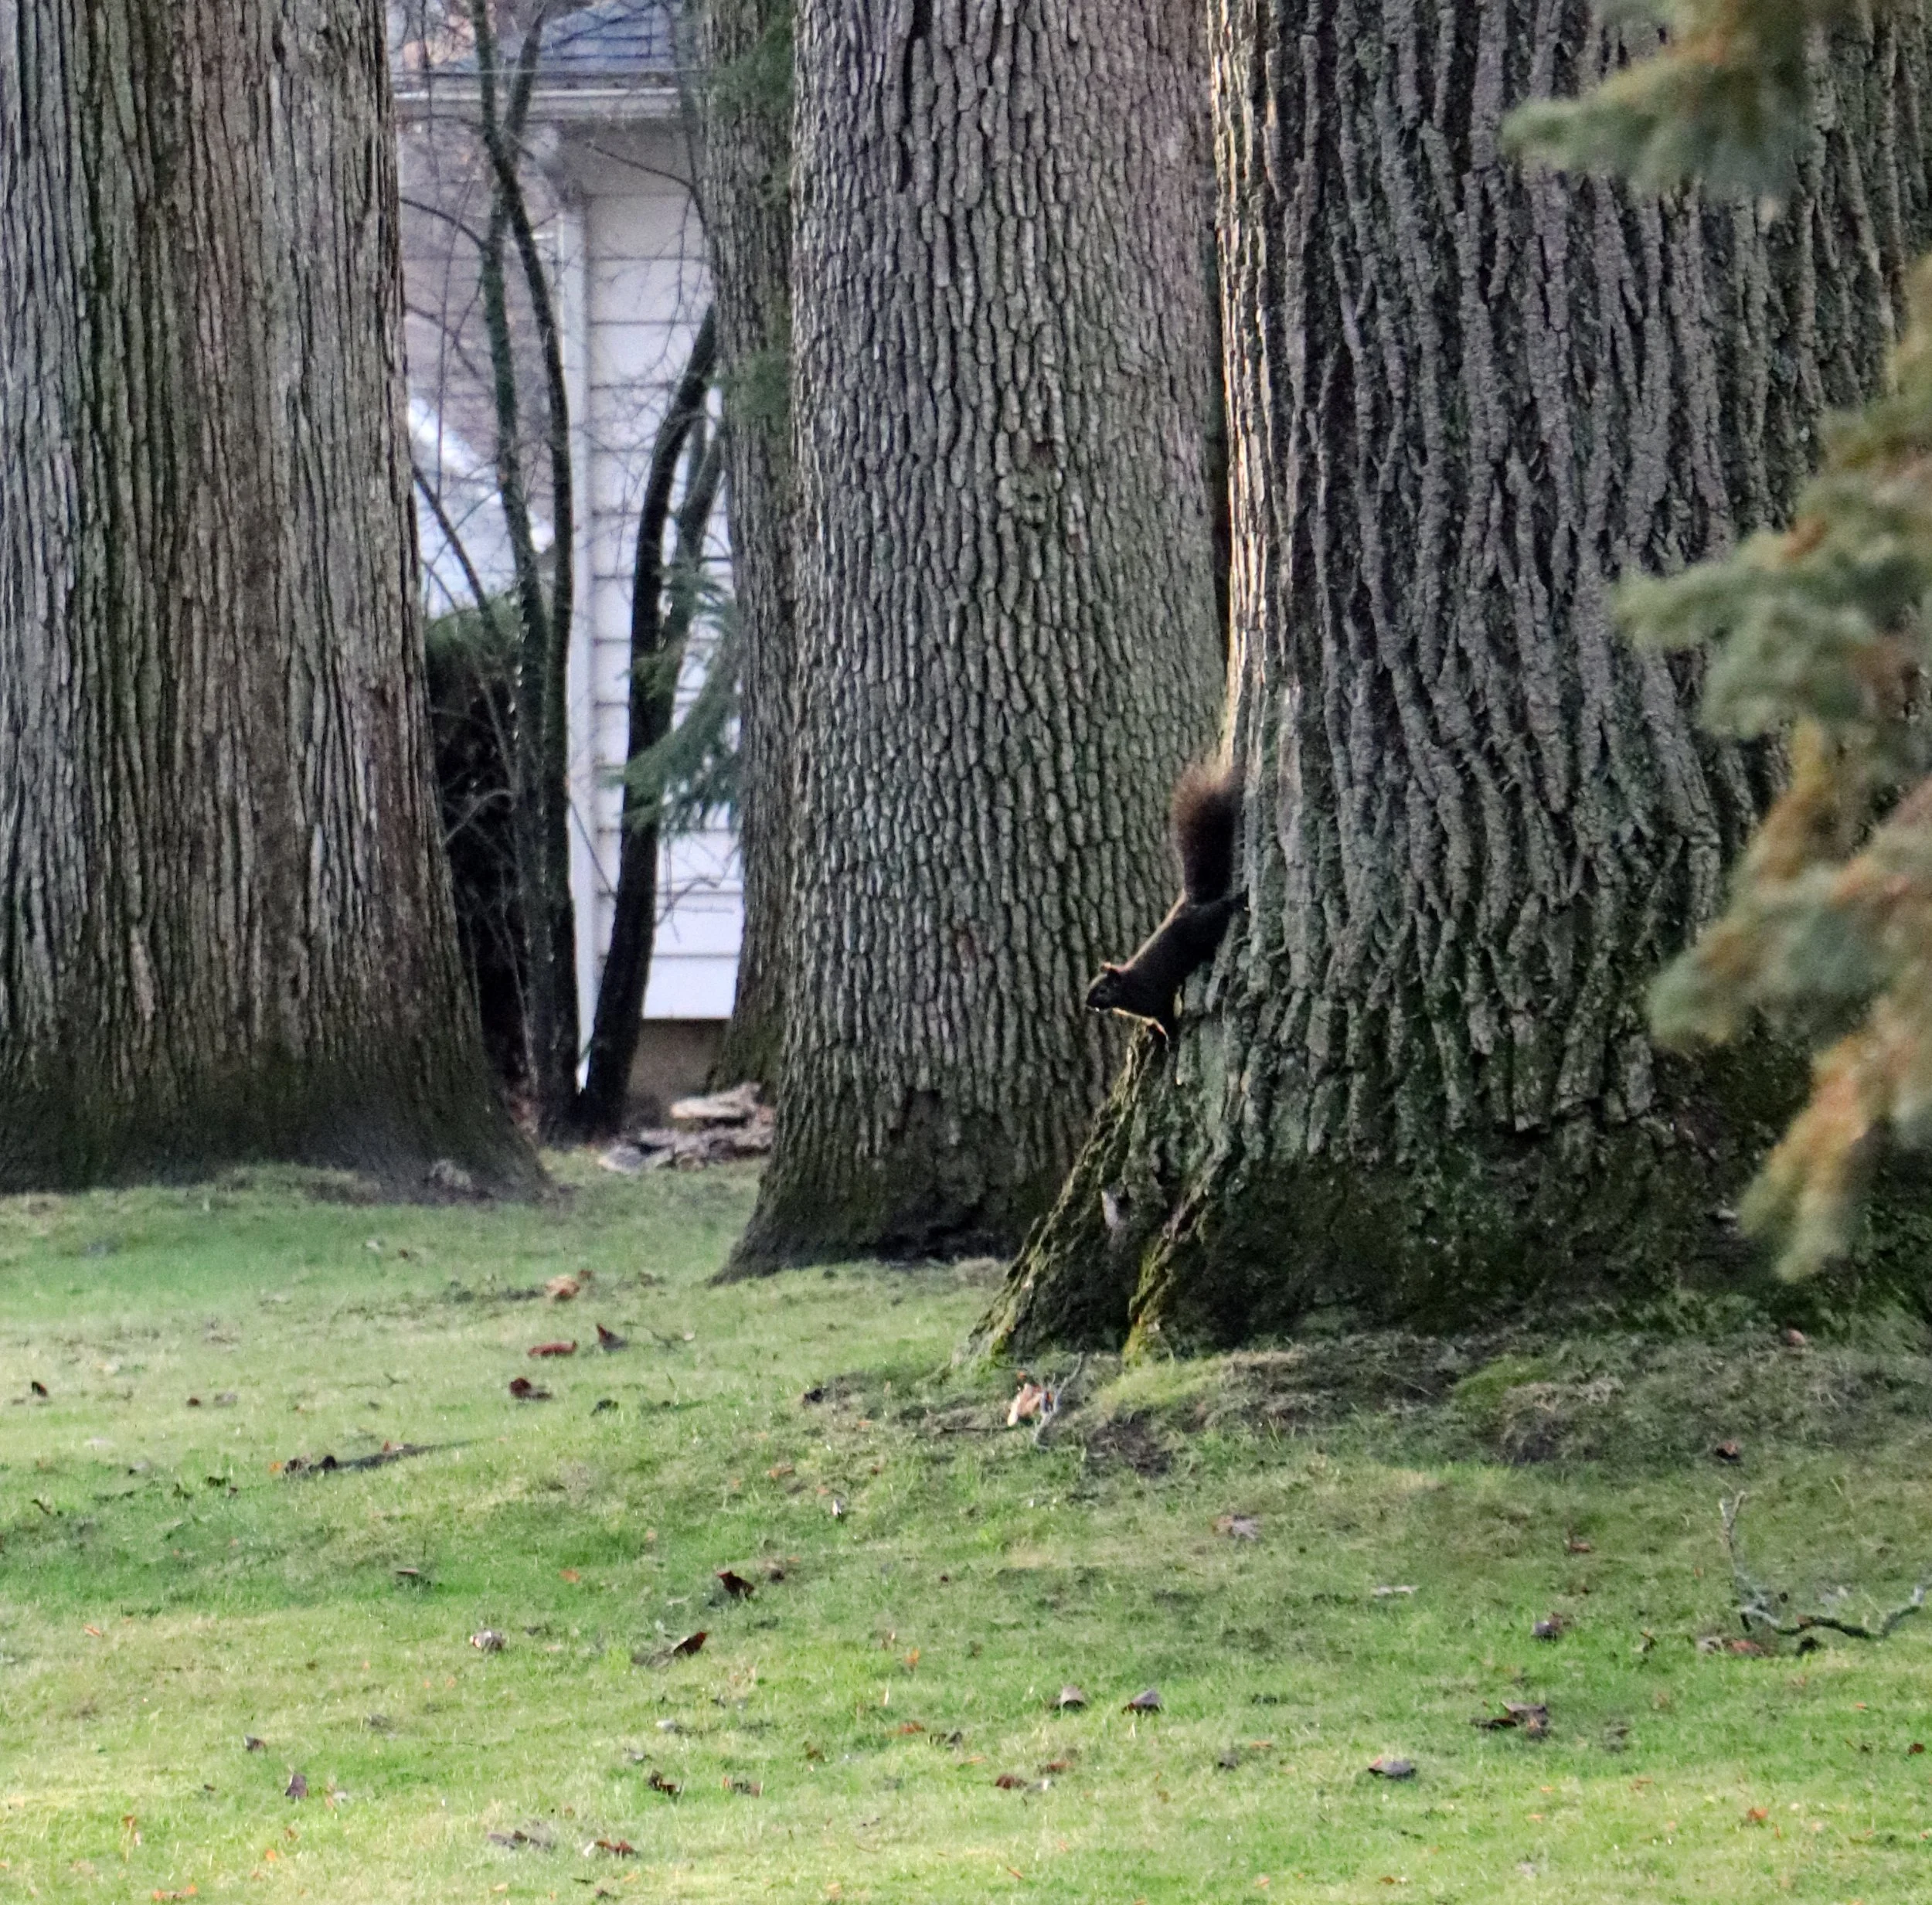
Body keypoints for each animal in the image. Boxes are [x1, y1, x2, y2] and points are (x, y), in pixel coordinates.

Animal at [1085, 762, 1242, 1040]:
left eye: (1103, 990)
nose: (1089, 1004)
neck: (1127, 988)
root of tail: (1192, 902)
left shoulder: (1153, 999)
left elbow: (1166, 1016)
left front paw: (1171, 1037)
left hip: (1199, 927)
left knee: (1216, 916)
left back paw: (1234, 902)